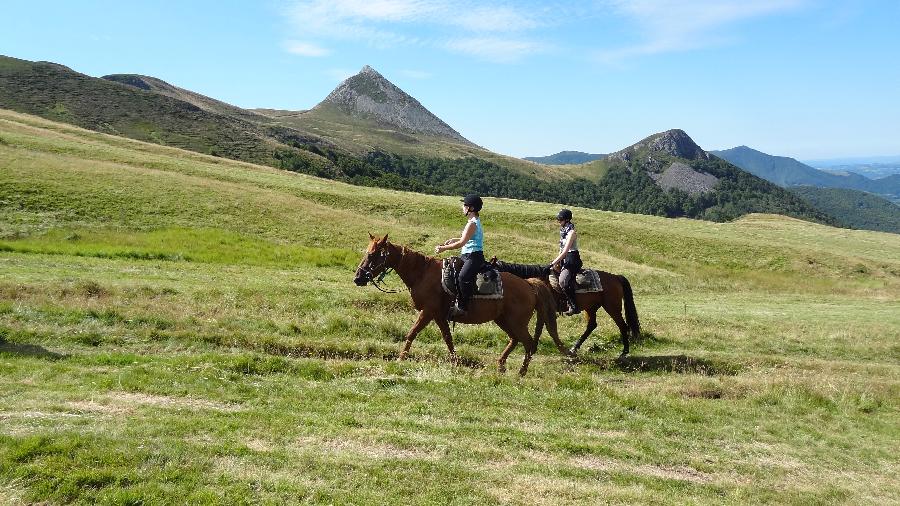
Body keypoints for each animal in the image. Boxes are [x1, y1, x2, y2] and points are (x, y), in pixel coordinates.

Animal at [352, 235, 564, 374]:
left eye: (372, 255)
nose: (358, 278)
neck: (422, 273)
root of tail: (529, 285)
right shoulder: (438, 315)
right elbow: (448, 338)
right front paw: (455, 362)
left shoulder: (428, 312)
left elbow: (412, 333)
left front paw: (401, 358)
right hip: (504, 320)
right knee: (515, 340)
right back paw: (501, 364)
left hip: (516, 322)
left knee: (528, 343)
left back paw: (521, 372)